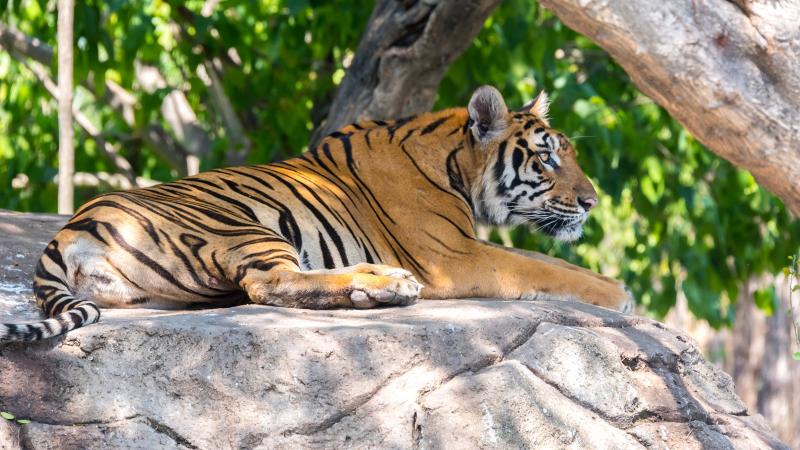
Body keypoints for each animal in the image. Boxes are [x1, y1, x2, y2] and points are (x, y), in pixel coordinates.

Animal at [0, 85, 633, 342]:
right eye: (548, 158)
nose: (592, 201)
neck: (456, 164)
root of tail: (65, 233)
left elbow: (548, 261)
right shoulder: (453, 256)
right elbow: (541, 268)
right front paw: (618, 293)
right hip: (240, 224)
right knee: (270, 285)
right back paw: (386, 286)